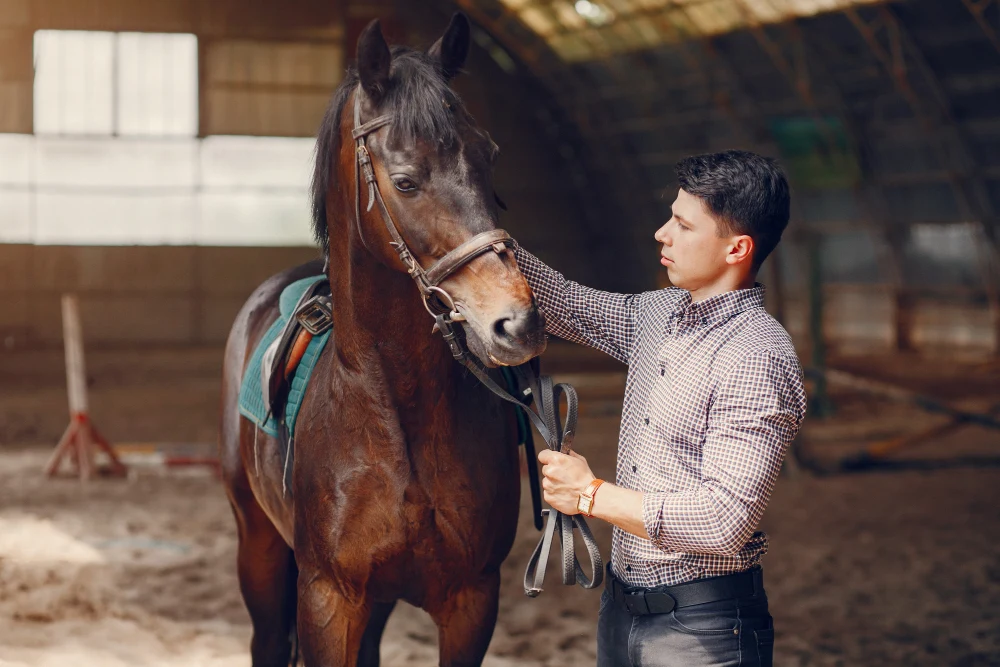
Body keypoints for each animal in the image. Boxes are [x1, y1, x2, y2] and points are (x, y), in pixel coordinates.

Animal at [218, 14, 547, 667]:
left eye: (489, 156)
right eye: (405, 180)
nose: (516, 323)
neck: (396, 412)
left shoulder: (471, 602)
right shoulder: (329, 598)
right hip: (259, 547)